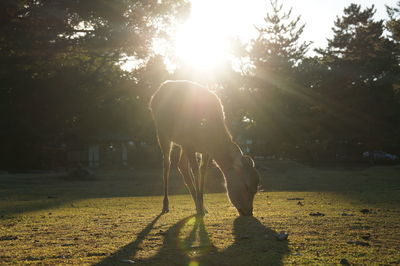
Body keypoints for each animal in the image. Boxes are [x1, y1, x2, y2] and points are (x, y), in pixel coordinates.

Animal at [149, 79, 260, 216]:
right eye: (246, 186)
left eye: (256, 188)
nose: (249, 211)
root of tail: (158, 91)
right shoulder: (189, 144)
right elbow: (196, 170)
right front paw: (200, 206)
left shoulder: (204, 150)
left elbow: (203, 171)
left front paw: (201, 205)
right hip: (162, 132)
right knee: (167, 164)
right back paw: (166, 205)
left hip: (182, 144)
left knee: (182, 165)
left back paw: (199, 206)